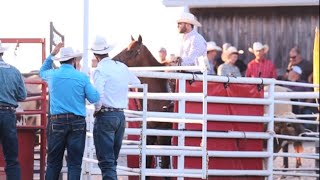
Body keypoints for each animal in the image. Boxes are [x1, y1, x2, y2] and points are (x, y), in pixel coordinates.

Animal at [112, 35, 172, 176]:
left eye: (130, 50)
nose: (112, 60)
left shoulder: (164, 136)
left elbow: (165, 166)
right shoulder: (149, 137)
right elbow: (147, 164)